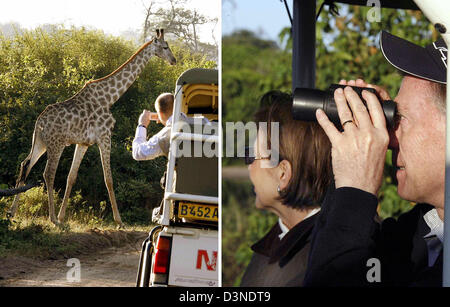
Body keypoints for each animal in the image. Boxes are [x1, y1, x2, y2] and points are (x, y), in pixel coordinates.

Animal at [8, 28, 177, 226]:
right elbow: (108, 178)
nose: (174, 60)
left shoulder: (83, 143)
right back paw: (52, 219)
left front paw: (63, 216)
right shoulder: (105, 137)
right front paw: (119, 221)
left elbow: (71, 177)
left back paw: (12, 213)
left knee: (25, 165)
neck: (109, 98)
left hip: (41, 143)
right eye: (165, 47)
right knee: (48, 173)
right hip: (56, 144)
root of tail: (39, 123)